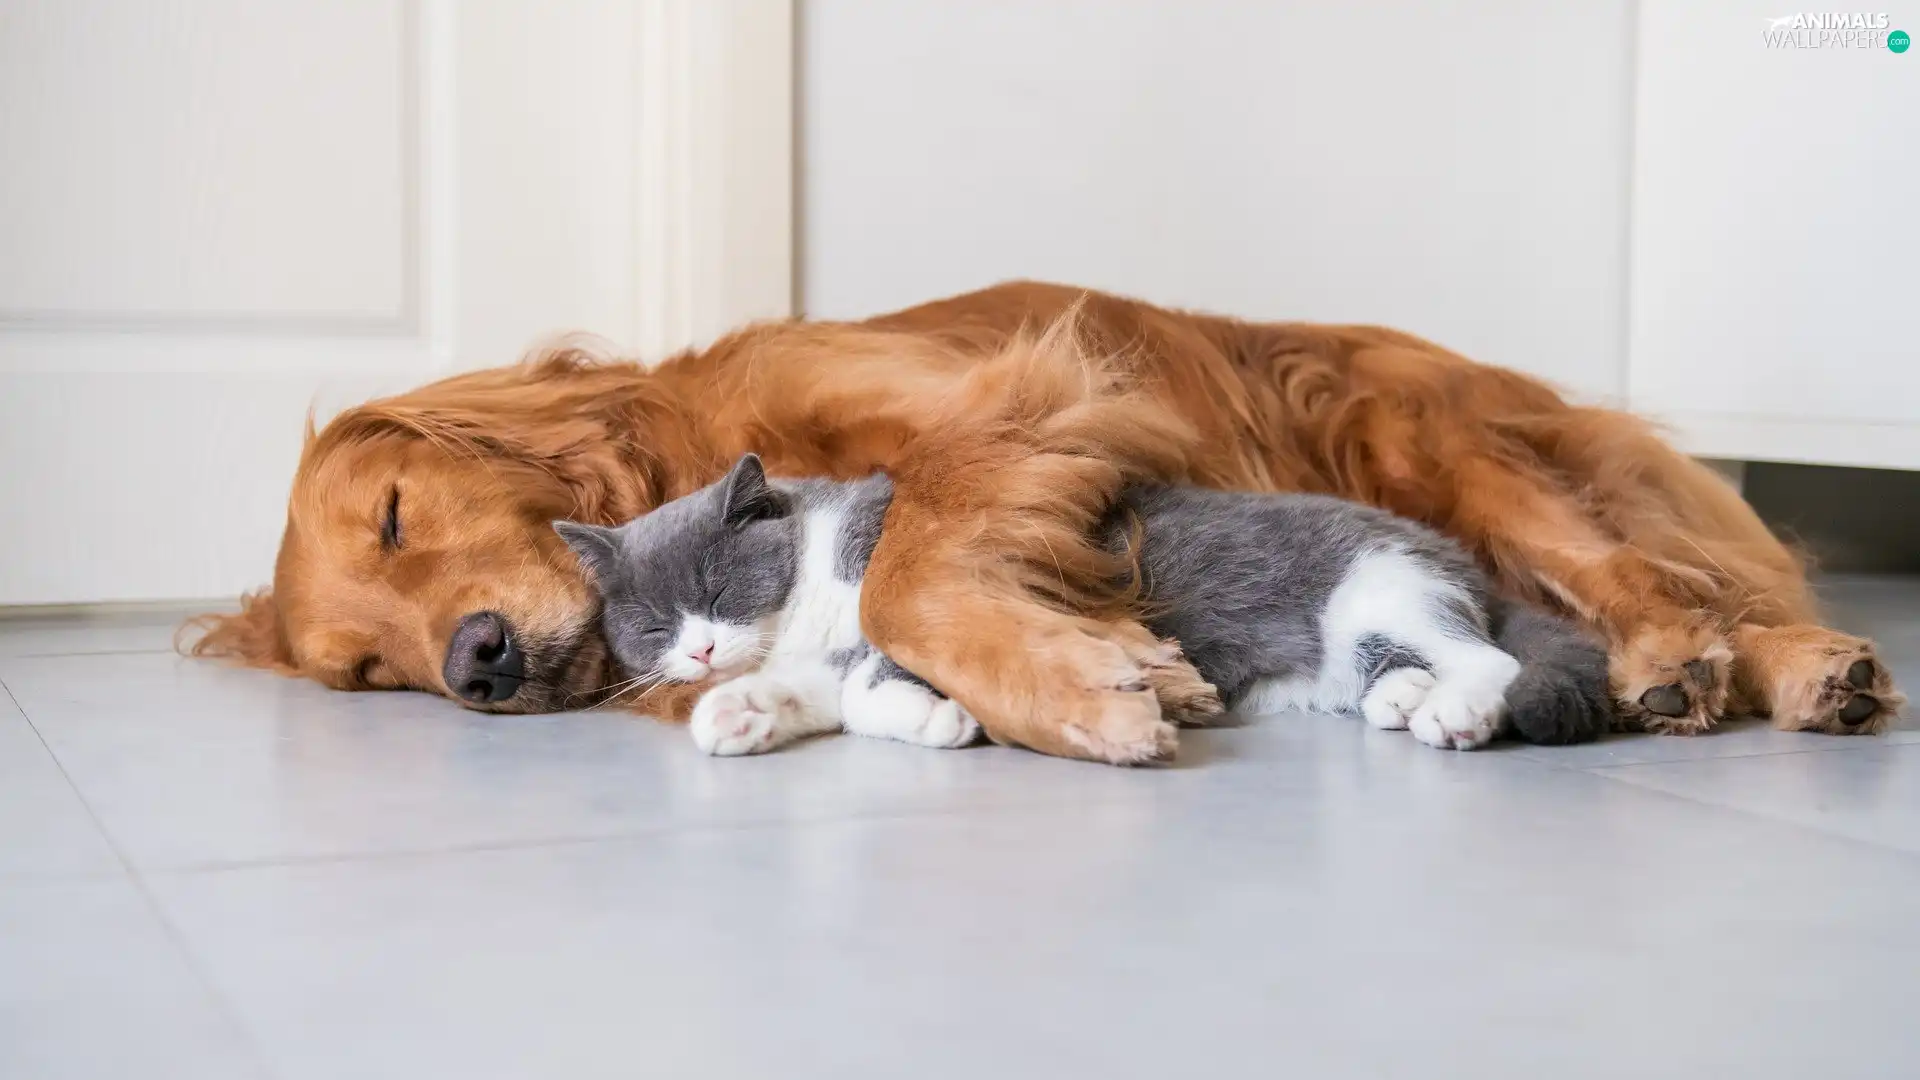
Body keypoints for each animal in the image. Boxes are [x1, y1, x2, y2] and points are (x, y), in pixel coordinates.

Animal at [560, 453, 1612, 757]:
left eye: (715, 589)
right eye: (652, 626)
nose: (698, 652)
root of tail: (1456, 553)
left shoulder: (926, 602)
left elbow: (870, 683)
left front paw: (941, 718)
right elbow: (821, 696)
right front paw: (736, 714)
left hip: (1377, 590)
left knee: (1493, 662)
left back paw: (1455, 712)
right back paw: (1402, 699)